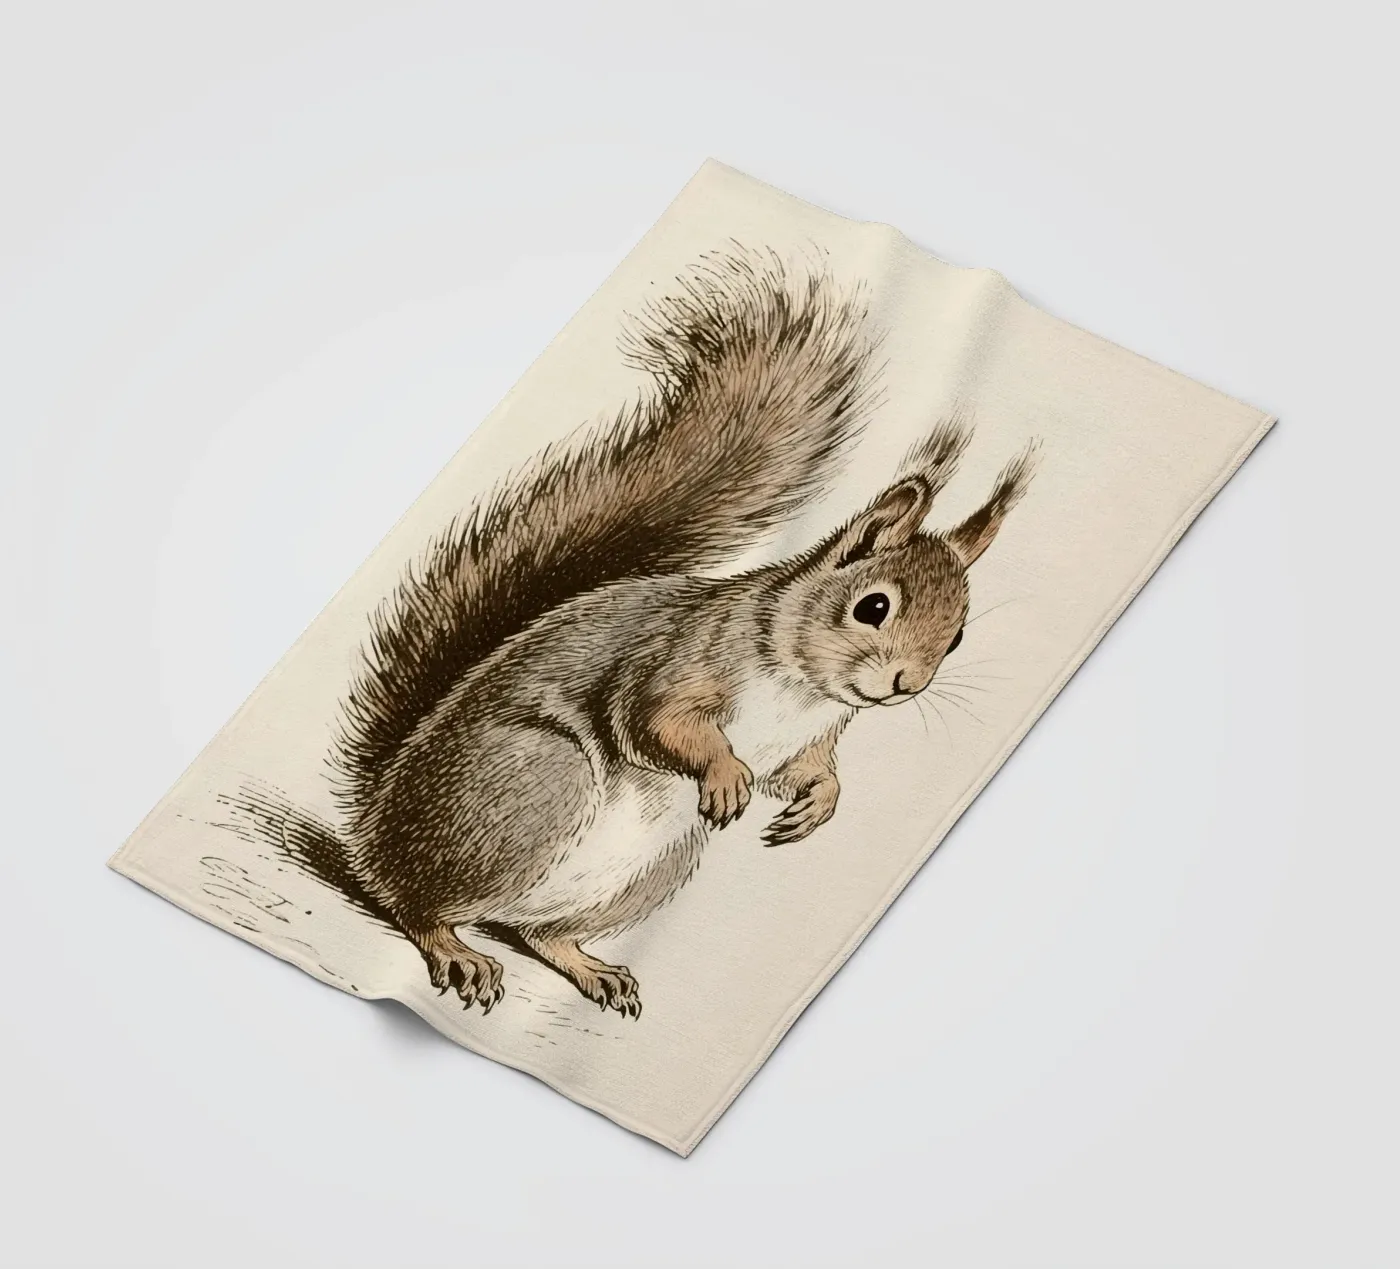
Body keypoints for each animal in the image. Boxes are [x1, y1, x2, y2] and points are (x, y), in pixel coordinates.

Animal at [329, 250, 1035, 1018]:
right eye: (872, 607)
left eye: (958, 637)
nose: (907, 684)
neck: (802, 689)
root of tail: (375, 825)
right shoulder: (681, 658)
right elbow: (654, 721)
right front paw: (726, 773)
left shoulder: (813, 736)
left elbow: (807, 771)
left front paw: (817, 805)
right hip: (531, 782)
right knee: (412, 902)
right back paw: (454, 947)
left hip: (653, 867)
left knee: (534, 932)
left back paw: (592, 969)